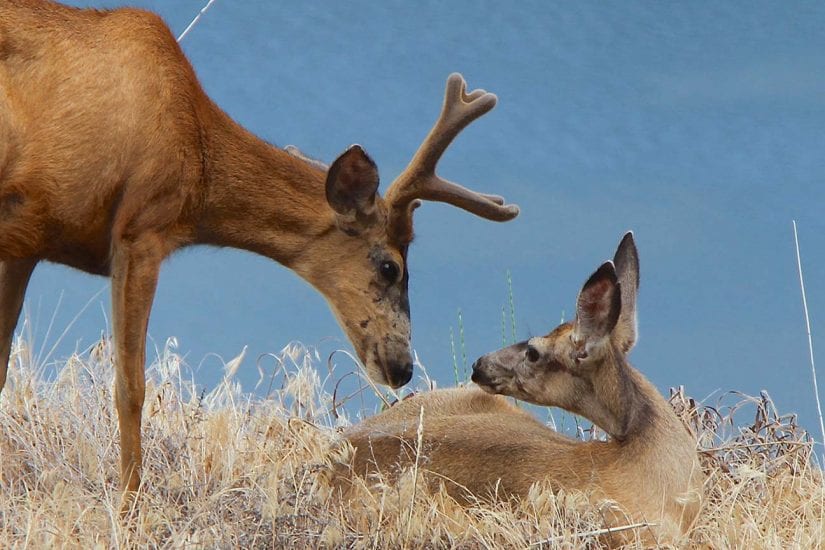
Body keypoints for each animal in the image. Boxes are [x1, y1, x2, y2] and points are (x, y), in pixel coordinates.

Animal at [0, 0, 516, 506]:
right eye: (391, 266)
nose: (403, 367)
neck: (198, 157)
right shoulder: (139, 229)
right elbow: (132, 387)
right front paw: (130, 506)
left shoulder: (26, 245)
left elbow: (4, 364)